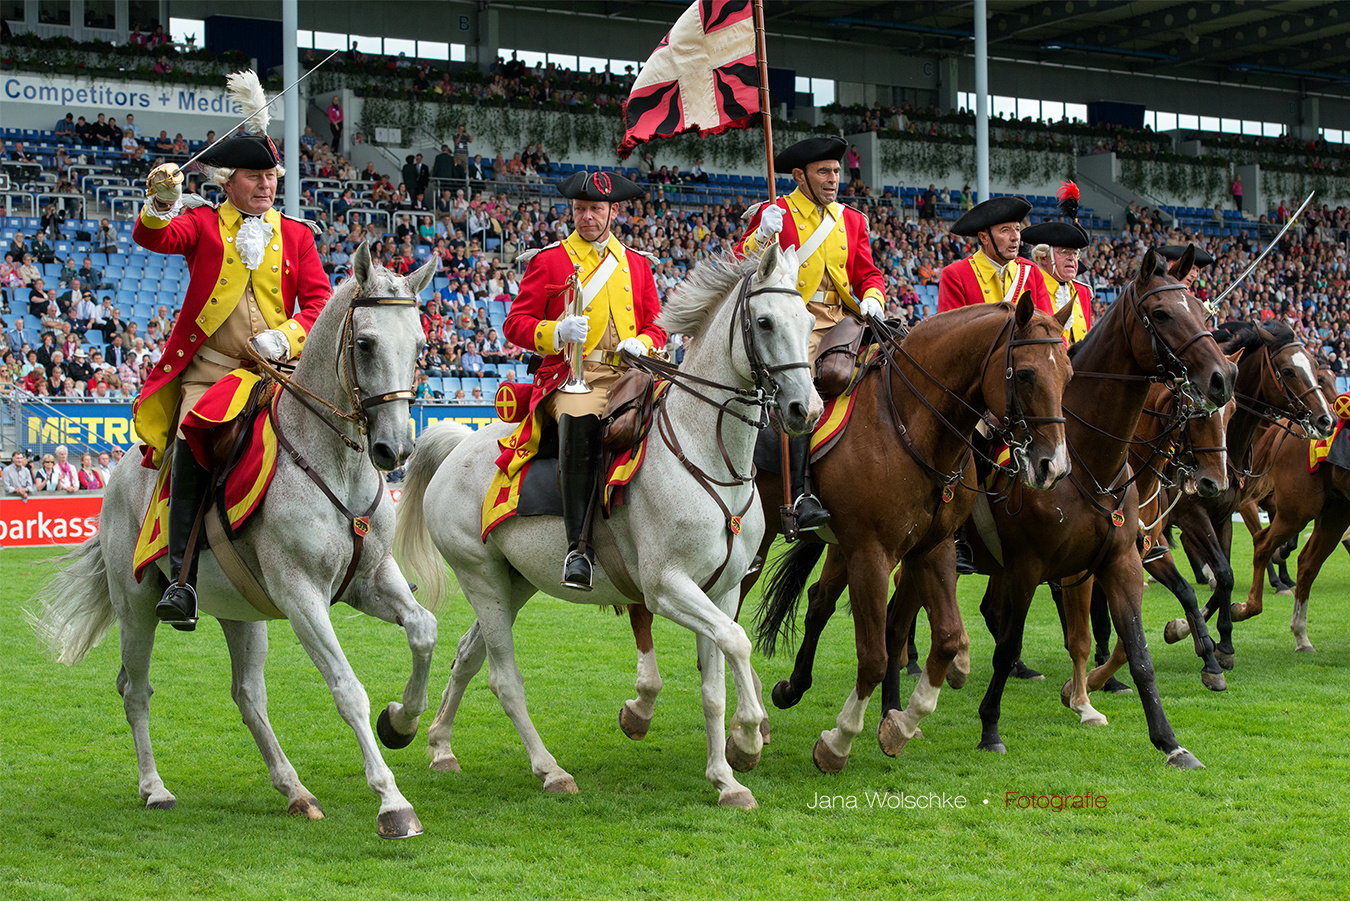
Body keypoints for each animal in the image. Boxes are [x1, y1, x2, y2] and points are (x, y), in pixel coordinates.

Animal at [29, 244, 437, 837]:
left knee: (247, 696)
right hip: (137, 606)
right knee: (136, 690)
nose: (395, 449)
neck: (333, 465)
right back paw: (155, 789)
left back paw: (295, 791)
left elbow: (424, 631)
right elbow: (347, 689)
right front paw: (392, 802)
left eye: (421, 345)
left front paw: (400, 723)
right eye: (365, 343)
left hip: (241, 612)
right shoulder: (301, 595)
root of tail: (123, 470)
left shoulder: (370, 579)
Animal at [394, 247, 815, 810]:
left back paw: (440, 746)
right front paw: (746, 742)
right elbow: (739, 643)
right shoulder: (667, 588)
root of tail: (459, 443)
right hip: (480, 577)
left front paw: (726, 778)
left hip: (513, 582)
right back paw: (549, 770)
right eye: (765, 322)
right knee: (504, 679)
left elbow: (716, 681)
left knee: (466, 656)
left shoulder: (721, 591)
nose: (805, 408)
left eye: (809, 320)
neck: (706, 457)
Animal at [615, 295, 1074, 767]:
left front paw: (900, 724)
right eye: (1026, 373)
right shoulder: (870, 553)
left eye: (1069, 374)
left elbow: (947, 639)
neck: (908, 423)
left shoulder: (933, 548)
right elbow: (874, 656)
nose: (1053, 466)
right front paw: (839, 741)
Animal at [966, 247, 1236, 767]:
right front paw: (992, 726)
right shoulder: (1033, 567)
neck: (1091, 458)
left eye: (1198, 307)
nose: (1222, 378)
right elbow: (1022, 642)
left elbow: (1135, 647)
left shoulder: (1121, 561)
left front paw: (1168, 740)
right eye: (1162, 313)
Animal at [1155, 320, 1333, 667]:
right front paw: (1198, 632)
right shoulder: (1196, 513)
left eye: (1314, 366)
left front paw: (1216, 637)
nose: (1326, 419)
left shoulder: (1226, 514)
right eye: (1288, 371)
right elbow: (1229, 570)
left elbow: (1227, 572)